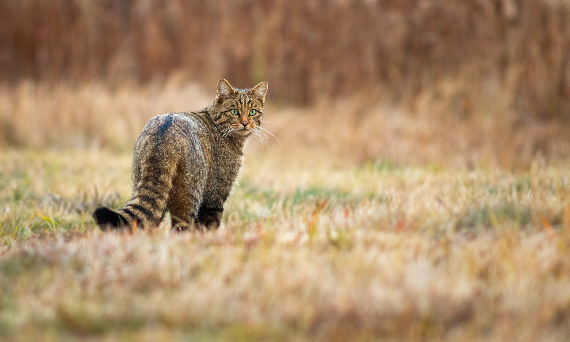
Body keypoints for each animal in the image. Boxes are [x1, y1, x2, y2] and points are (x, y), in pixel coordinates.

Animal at [93, 79, 268, 230]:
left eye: (252, 112)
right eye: (234, 111)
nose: (245, 123)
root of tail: (164, 134)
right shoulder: (215, 196)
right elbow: (209, 226)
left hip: (146, 188)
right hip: (189, 197)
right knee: (180, 228)